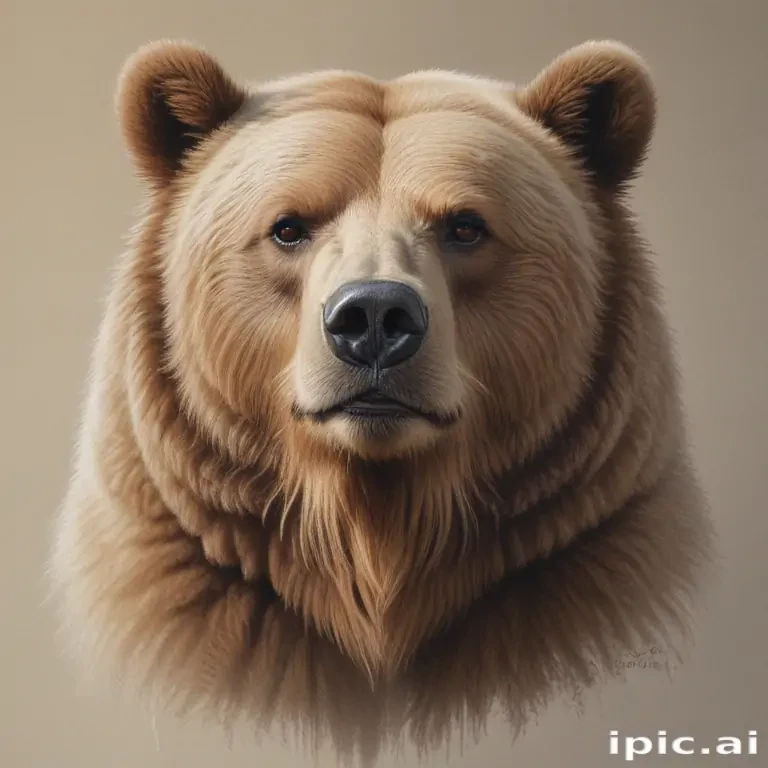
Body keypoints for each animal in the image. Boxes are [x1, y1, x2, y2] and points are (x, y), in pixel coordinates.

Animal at [51, 39, 714, 764]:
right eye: (288, 227)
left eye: (466, 226)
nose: (372, 317)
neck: (375, 534)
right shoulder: (188, 577)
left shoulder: (590, 559)